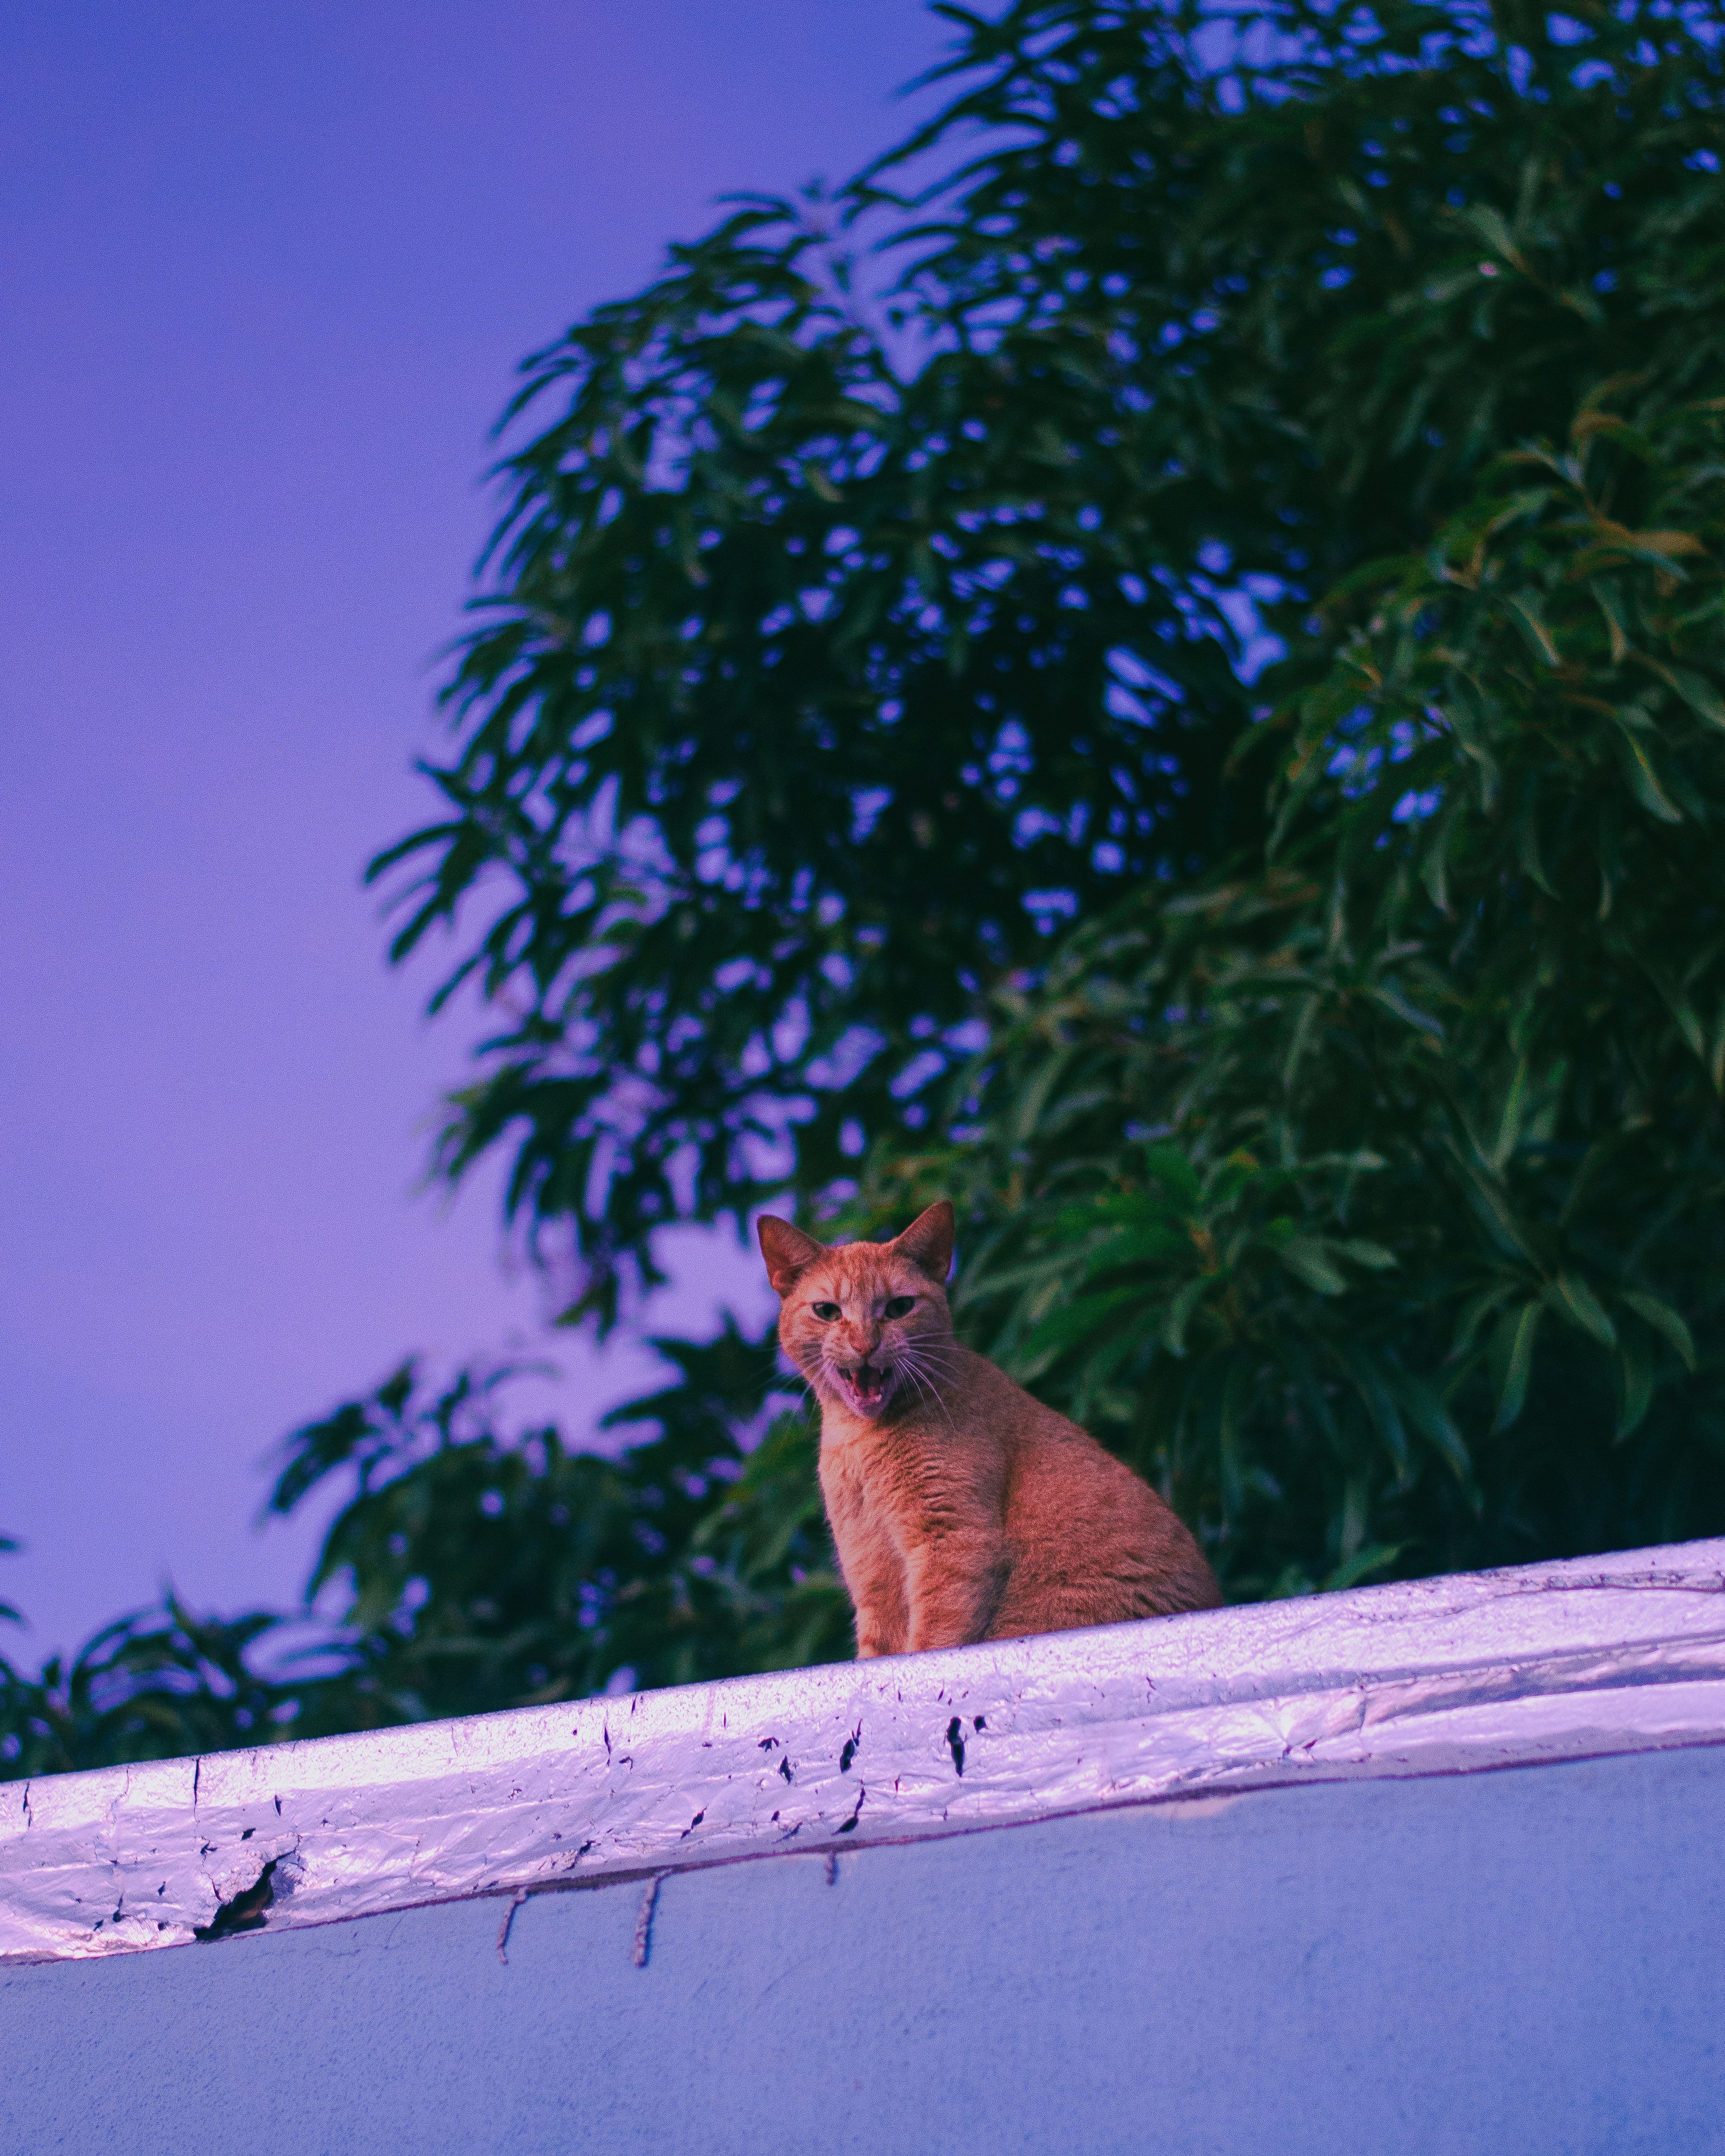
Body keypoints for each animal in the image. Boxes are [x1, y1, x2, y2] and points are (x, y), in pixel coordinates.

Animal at [759, 1199, 1225, 1647]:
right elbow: (878, 1650)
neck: (858, 1440)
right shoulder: (871, 1571)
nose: (864, 1344)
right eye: (827, 1311)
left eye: (899, 1308)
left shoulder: (953, 1541)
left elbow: (931, 1641)